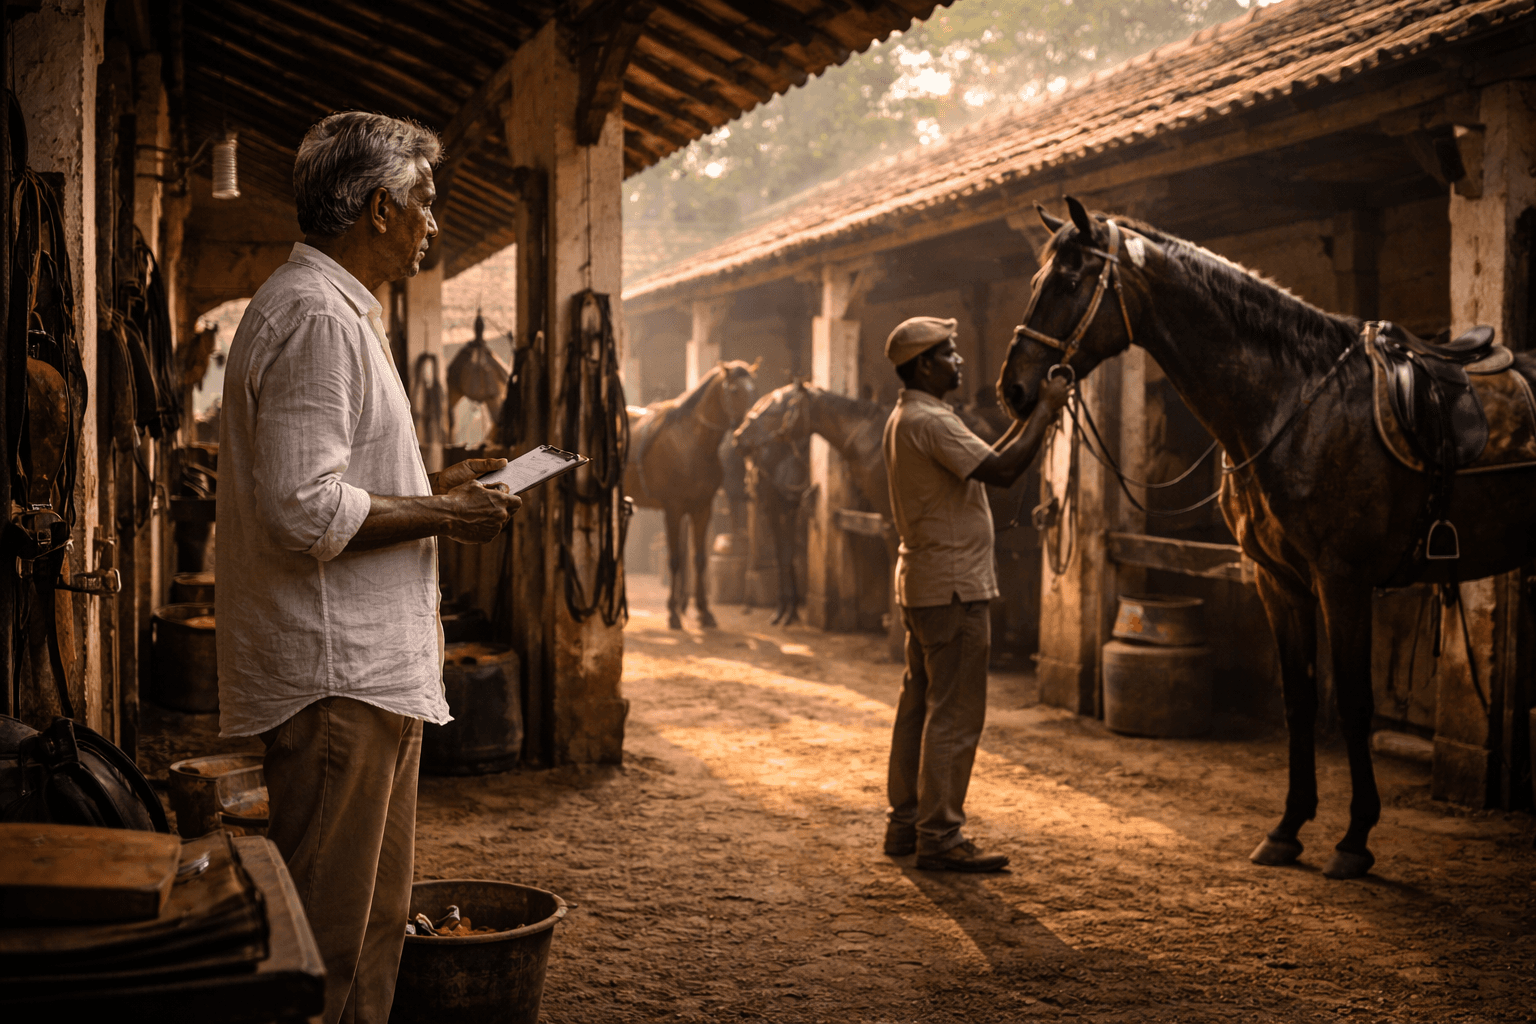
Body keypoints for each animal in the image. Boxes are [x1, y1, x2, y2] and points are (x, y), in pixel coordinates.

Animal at [626, 360, 759, 629]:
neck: (691, 442)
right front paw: (673, 613)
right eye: (733, 390)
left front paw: (704, 611)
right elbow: (675, 558)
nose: (745, 436)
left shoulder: (702, 508)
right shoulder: (673, 509)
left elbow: (699, 558)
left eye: (755, 389)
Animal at [997, 197, 1536, 880]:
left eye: (1070, 281)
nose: (1013, 390)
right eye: (1038, 280)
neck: (1294, 407)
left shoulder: (1342, 580)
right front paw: (1287, 828)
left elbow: (1353, 702)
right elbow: (1297, 698)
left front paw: (1354, 839)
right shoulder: (1278, 579)